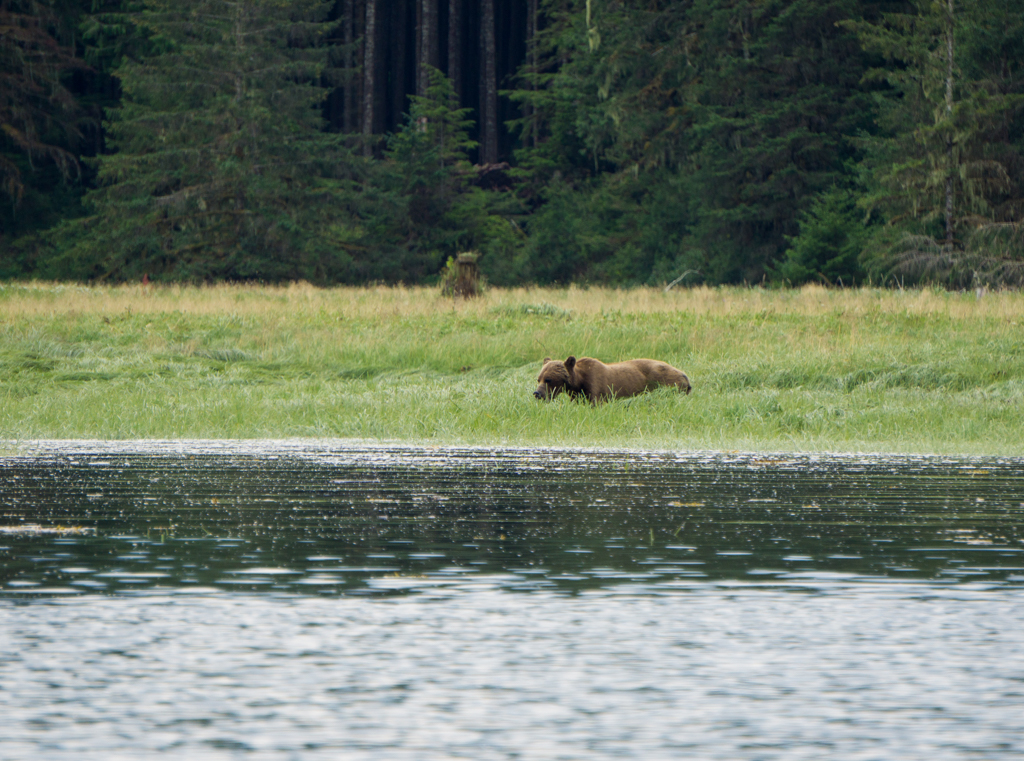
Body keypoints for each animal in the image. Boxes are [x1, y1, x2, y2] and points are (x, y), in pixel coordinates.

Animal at [532, 356, 692, 405]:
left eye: (548, 379)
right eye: (538, 379)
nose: (537, 393)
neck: (578, 382)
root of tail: (685, 375)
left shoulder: (596, 384)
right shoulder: (577, 393)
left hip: (666, 380)